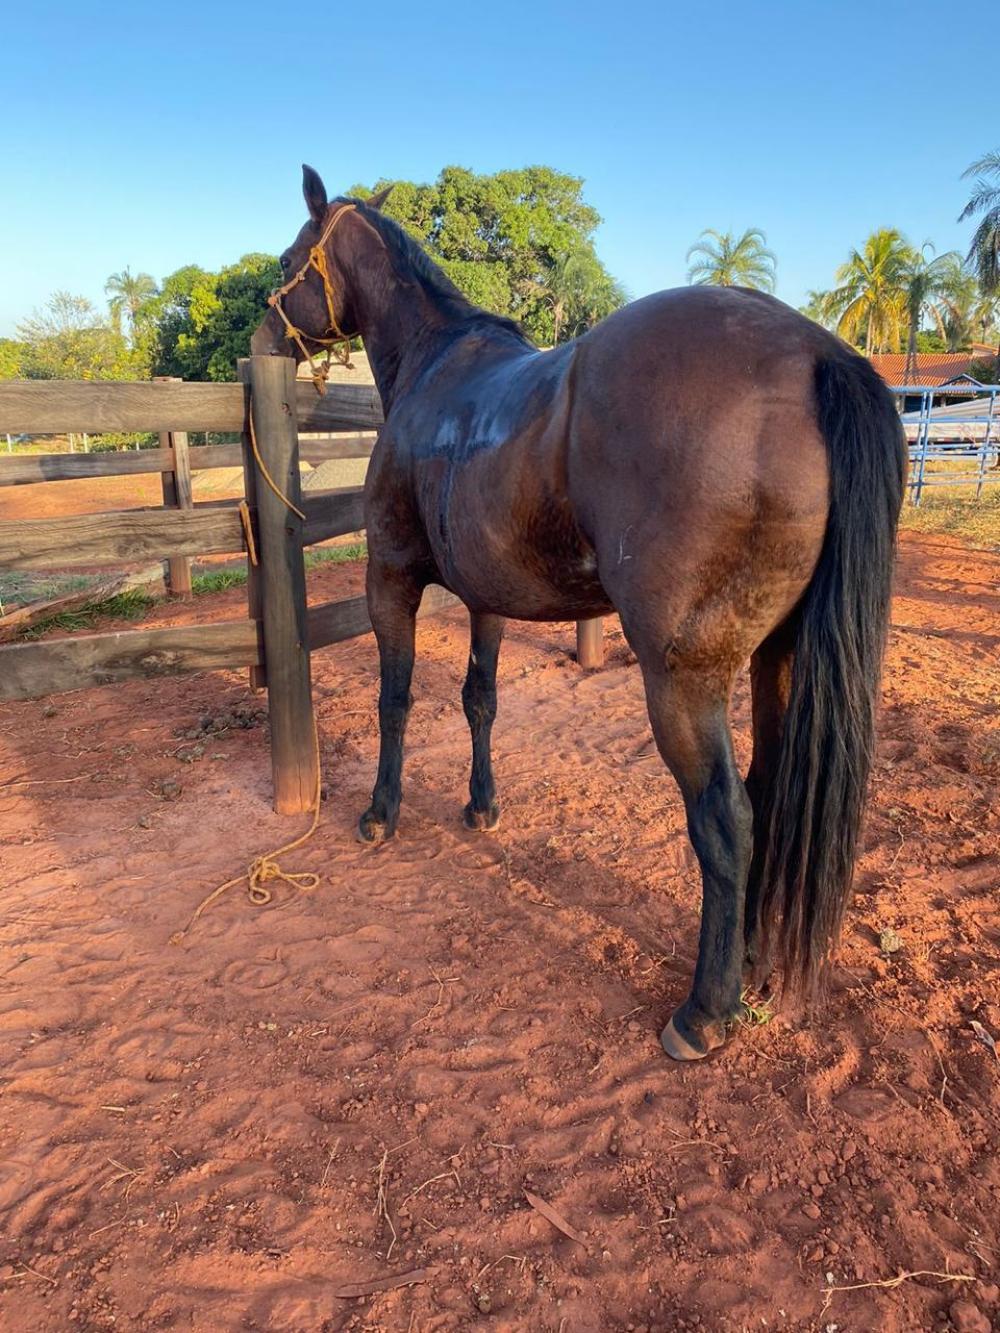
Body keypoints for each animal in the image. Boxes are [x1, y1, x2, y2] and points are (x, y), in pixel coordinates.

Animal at [252, 165, 906, 1061]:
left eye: (291, 258)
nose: (264, 332)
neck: (435, 370)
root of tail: (820, 353)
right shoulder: (486, 598)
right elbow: (479, 700)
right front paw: (481, 806)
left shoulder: (391, 578)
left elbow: (395, 699)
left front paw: (381, 812)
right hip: (778, 659)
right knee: (770, 794)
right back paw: (753, 962)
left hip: (682, 680)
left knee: (726, 816)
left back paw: (705, 1008)